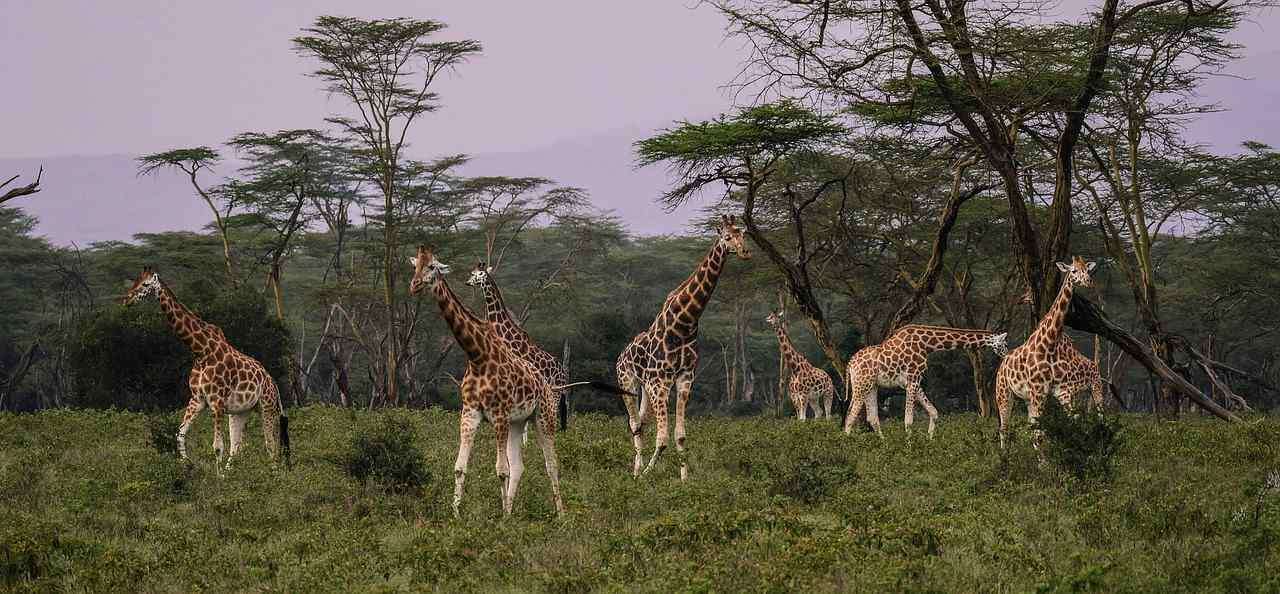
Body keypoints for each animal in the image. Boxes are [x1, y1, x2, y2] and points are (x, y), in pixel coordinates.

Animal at [122, 267, 289, 469]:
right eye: (135, 281)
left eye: (145, 284)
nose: (126, 299)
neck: (200, 352)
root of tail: (273, 383)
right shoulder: (197, 399)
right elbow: (180, 435)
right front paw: (187, 465)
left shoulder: (216, 401)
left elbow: (217, 446)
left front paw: (217, 476)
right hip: (240, 412)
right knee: (238, 446)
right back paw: (233, 472)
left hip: (267, 407)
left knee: (271, 445)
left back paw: (273, 473)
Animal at [466, 263, 570, 440]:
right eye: (472, 272)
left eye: (478, 274)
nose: (467, 282)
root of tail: (563, 372)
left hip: (556, 392)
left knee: (553, 417)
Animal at [616, 214, 751, 479]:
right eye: (727, 237)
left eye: (742, 233)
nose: (745, 251)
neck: (684, 324)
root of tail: (621, 355)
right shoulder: (660, 382)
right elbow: (662, 438)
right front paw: (646, 474)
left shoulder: (685, 378)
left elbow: (679, 435)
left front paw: (685, 480)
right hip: (628, 382)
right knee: (634, 424)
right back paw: (636, 472)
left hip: (645, 388)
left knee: (641, 423)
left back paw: (637, 468)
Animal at [842, 325, 1008, 439]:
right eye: (1004, 344)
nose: (1006, 354)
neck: (928, 345)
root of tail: (850, 364)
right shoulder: (913, 378)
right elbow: (908, 420)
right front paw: (909, 447)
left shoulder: (913, 381)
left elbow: (934, 412)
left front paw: (929, 440)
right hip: (861, 384)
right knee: (850, 416)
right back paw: (847, 446)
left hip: (871, 386)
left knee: (871, 418)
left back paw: (882, 444)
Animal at [995, 256, 1096, 450]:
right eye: (1073, 271)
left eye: (1087, 270)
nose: (1088, 281)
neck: (1048, 345)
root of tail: (1003, 361)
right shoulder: (1038, 391)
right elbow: (1039, 433)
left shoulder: (1049, 392)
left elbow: (1042, 431)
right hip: (1003, 394)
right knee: (1004, 428)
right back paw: (1003, 456)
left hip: (1026, 398)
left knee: (1024, 427)